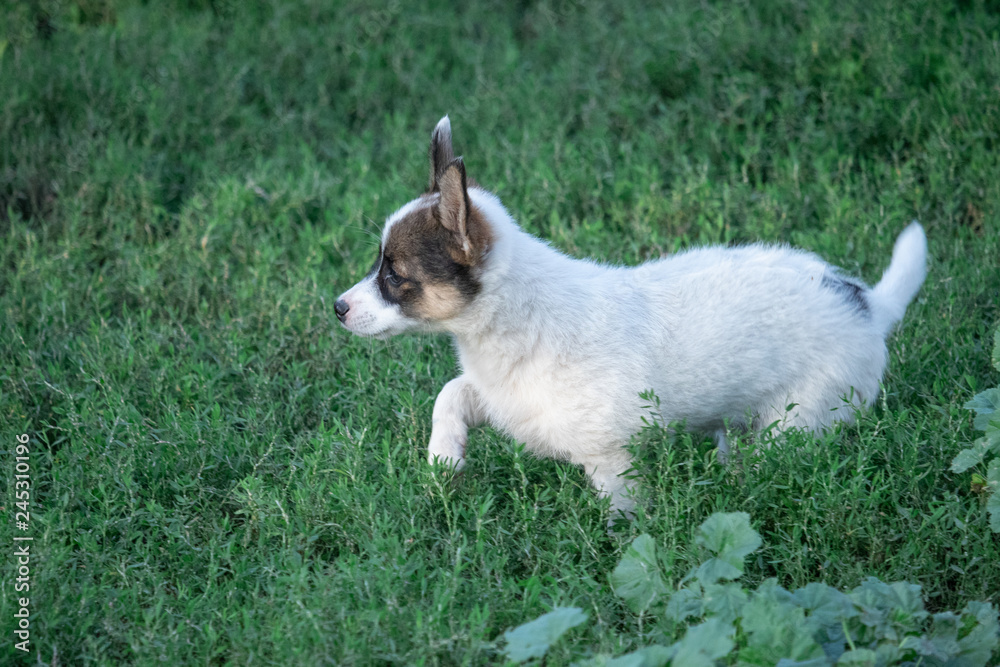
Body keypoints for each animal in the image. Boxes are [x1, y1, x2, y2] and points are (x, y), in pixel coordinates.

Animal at [336, 117, 928, 520]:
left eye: (394, 275)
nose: (338, 307)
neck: (515, 324)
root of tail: (868, 304)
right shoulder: (504, 400)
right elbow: (450, 393)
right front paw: (444, 459)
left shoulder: (611, 459)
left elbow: (622, 517)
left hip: (800, 420)